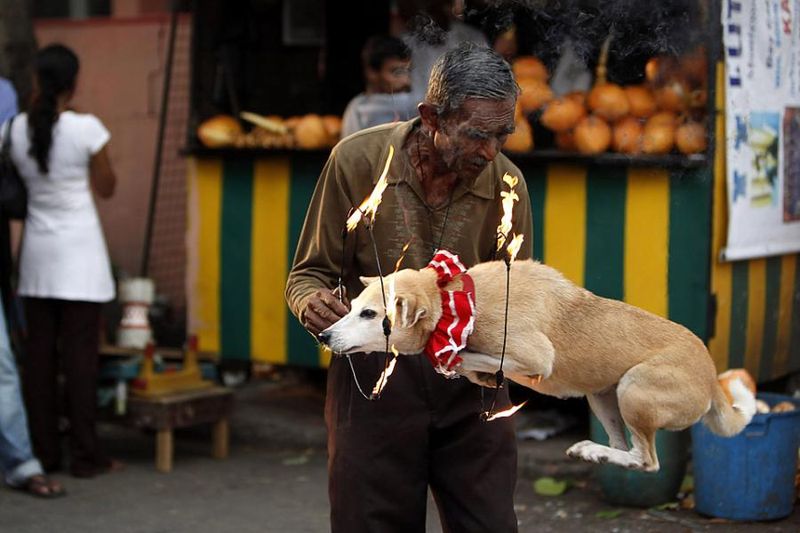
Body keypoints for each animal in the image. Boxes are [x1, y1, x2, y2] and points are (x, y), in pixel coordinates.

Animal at [318, 258, 756, 470]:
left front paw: (459, 361)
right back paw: (595, 453)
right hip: (604, 397)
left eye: (371, 315)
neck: (453, 300)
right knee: (626, 449)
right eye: (352, 307)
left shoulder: (534, 356)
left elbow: (474, 356)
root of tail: (711, 379)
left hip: (635, 390)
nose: (324, 337)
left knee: (647, 460)